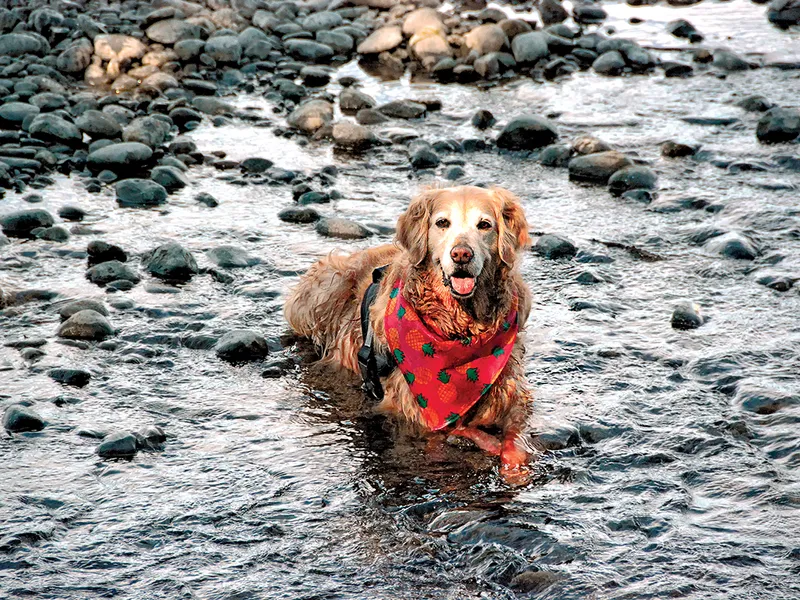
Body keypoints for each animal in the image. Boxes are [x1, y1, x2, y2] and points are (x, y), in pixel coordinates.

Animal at [284, 185, 536, 472]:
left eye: (484, 225)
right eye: (442, 223)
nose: (461, 254)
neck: (460, 327)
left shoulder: (512, 393)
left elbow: (516, 440)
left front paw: (514, 463)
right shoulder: (414, 408)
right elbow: (453, 430)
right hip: (326, 285)